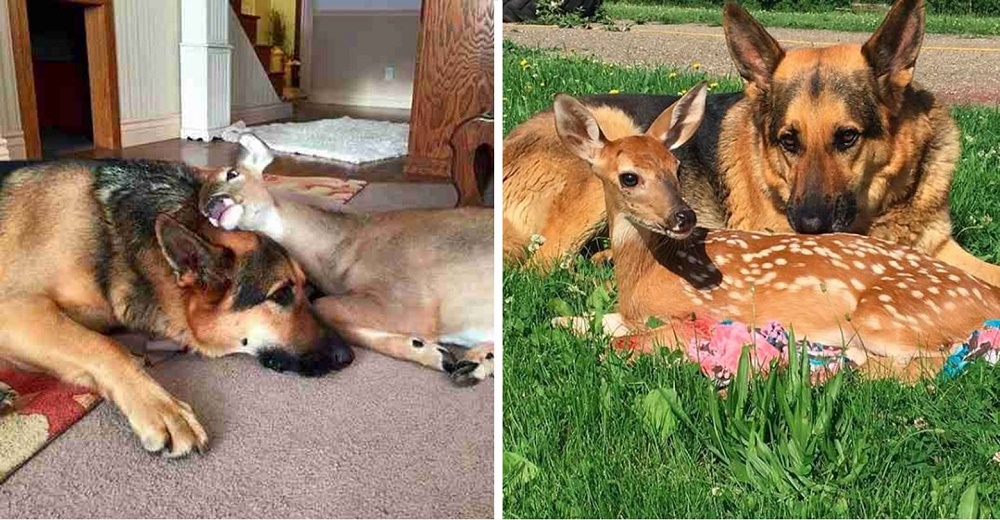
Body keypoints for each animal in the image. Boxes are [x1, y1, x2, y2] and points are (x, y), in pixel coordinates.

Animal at [0, 158, 356, 456]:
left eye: (308, 290)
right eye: (281, 294)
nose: (349, 356)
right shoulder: (15, 310)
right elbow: (104, 347)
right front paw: (163, 409)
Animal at [198, 135, 492, 386]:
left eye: (232, 173)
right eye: (200, 209)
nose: (210, 207)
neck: (339, 248)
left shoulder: (413, 302)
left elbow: (323, 305)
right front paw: (433, 351)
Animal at [504, 0, 1000, 284]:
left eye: (848, 137)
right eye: (787, 141)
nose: (809, 225)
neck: (878, 210)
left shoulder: (939, 249)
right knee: (543, 264)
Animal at [552, 83, 1000, 380]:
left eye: (676, 169)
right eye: (629, 177)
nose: (683, 217)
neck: (647, 271)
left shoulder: (699, 313)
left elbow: (620, 342)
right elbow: (569, 322)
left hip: (889, 315)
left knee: (934, 362)